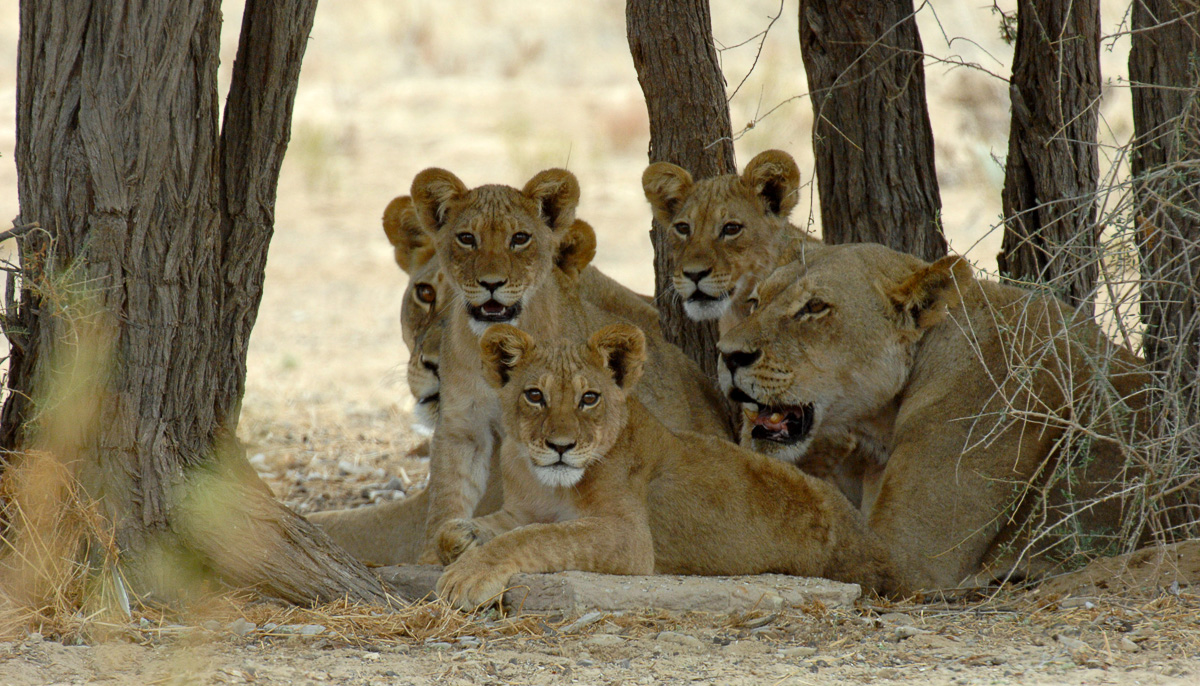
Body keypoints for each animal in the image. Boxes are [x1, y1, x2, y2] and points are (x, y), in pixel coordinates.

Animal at [409, 166, 731, 564]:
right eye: (467, 238)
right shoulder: (463, 424)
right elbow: (446, 494)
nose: (491, 284)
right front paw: (429, 556)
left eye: (520, 238)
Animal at [432, 323, 896, 609]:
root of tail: (878, 545)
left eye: (589, 398)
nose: (560, 447)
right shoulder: (521, 509)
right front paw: (463, 539)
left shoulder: (631, 538)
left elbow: (537, 537)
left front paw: (468, 574)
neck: (548, 484)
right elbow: (456, 530)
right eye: (534, 395)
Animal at [717, 242, 1152, 589]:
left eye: (815, 307)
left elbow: (802, 508)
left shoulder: (910, 556)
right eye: (755, 302)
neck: (881, 425)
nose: (728, 355)